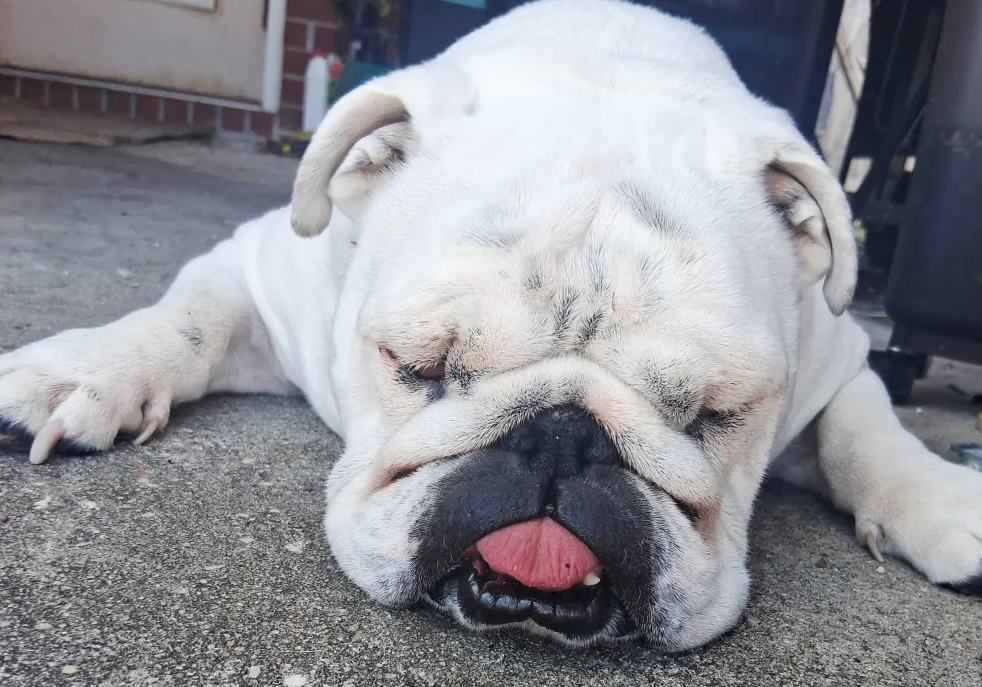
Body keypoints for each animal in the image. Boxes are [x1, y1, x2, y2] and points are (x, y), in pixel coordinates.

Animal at [1, 0, 980, 652]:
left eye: (714, 415)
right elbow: (187, 321)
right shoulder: (258, 271)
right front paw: (78, 372)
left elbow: (864, 432)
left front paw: (942, 503)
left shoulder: (843, 355)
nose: (562, 437)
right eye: (417, 365)